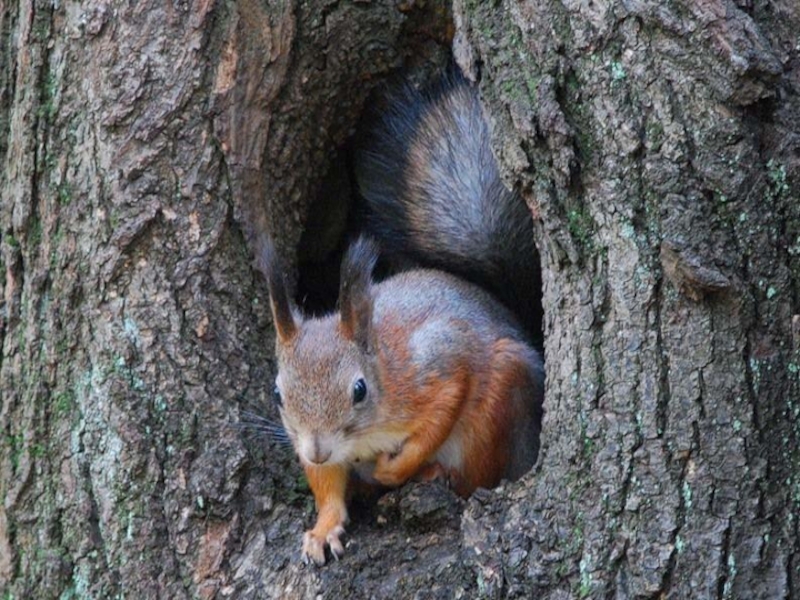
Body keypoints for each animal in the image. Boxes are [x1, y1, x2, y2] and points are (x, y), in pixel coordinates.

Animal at [256, 72, 544, 566]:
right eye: (278, 393)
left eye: (359, 390)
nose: (317, 448)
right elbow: (326, 486)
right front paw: (323, 527)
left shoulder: (437, 361)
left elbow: (441, 412)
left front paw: (396, 469)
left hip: (501, 398)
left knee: (477, 476)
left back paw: (432, 474)